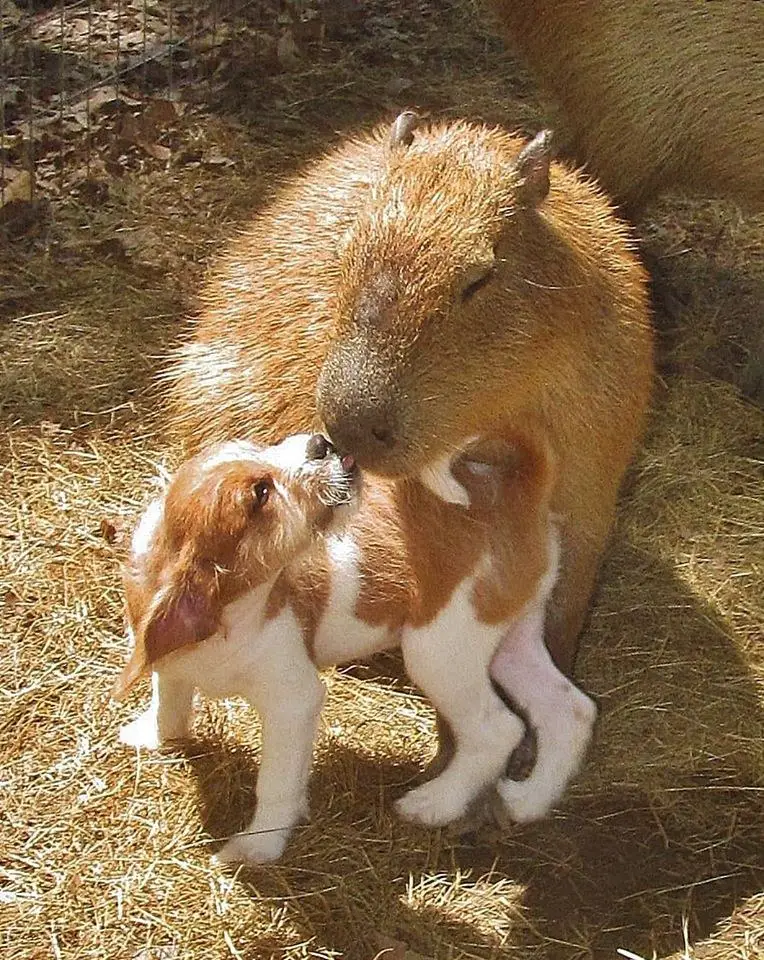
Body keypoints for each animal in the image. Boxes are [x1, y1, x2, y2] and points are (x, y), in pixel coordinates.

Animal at [118, 432, 596, 860]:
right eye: (260, 494)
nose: (320, 443)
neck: (229, 615)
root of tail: (517, 486)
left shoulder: (294, 700)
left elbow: (276, 783)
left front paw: (257, 847)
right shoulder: (170, 661)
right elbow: (169, 697)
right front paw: (153, 736)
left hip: (439, 651)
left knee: (499, 729)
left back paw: (435, 804)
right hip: (509, 642)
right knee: (569, 710)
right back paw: (529, 800)